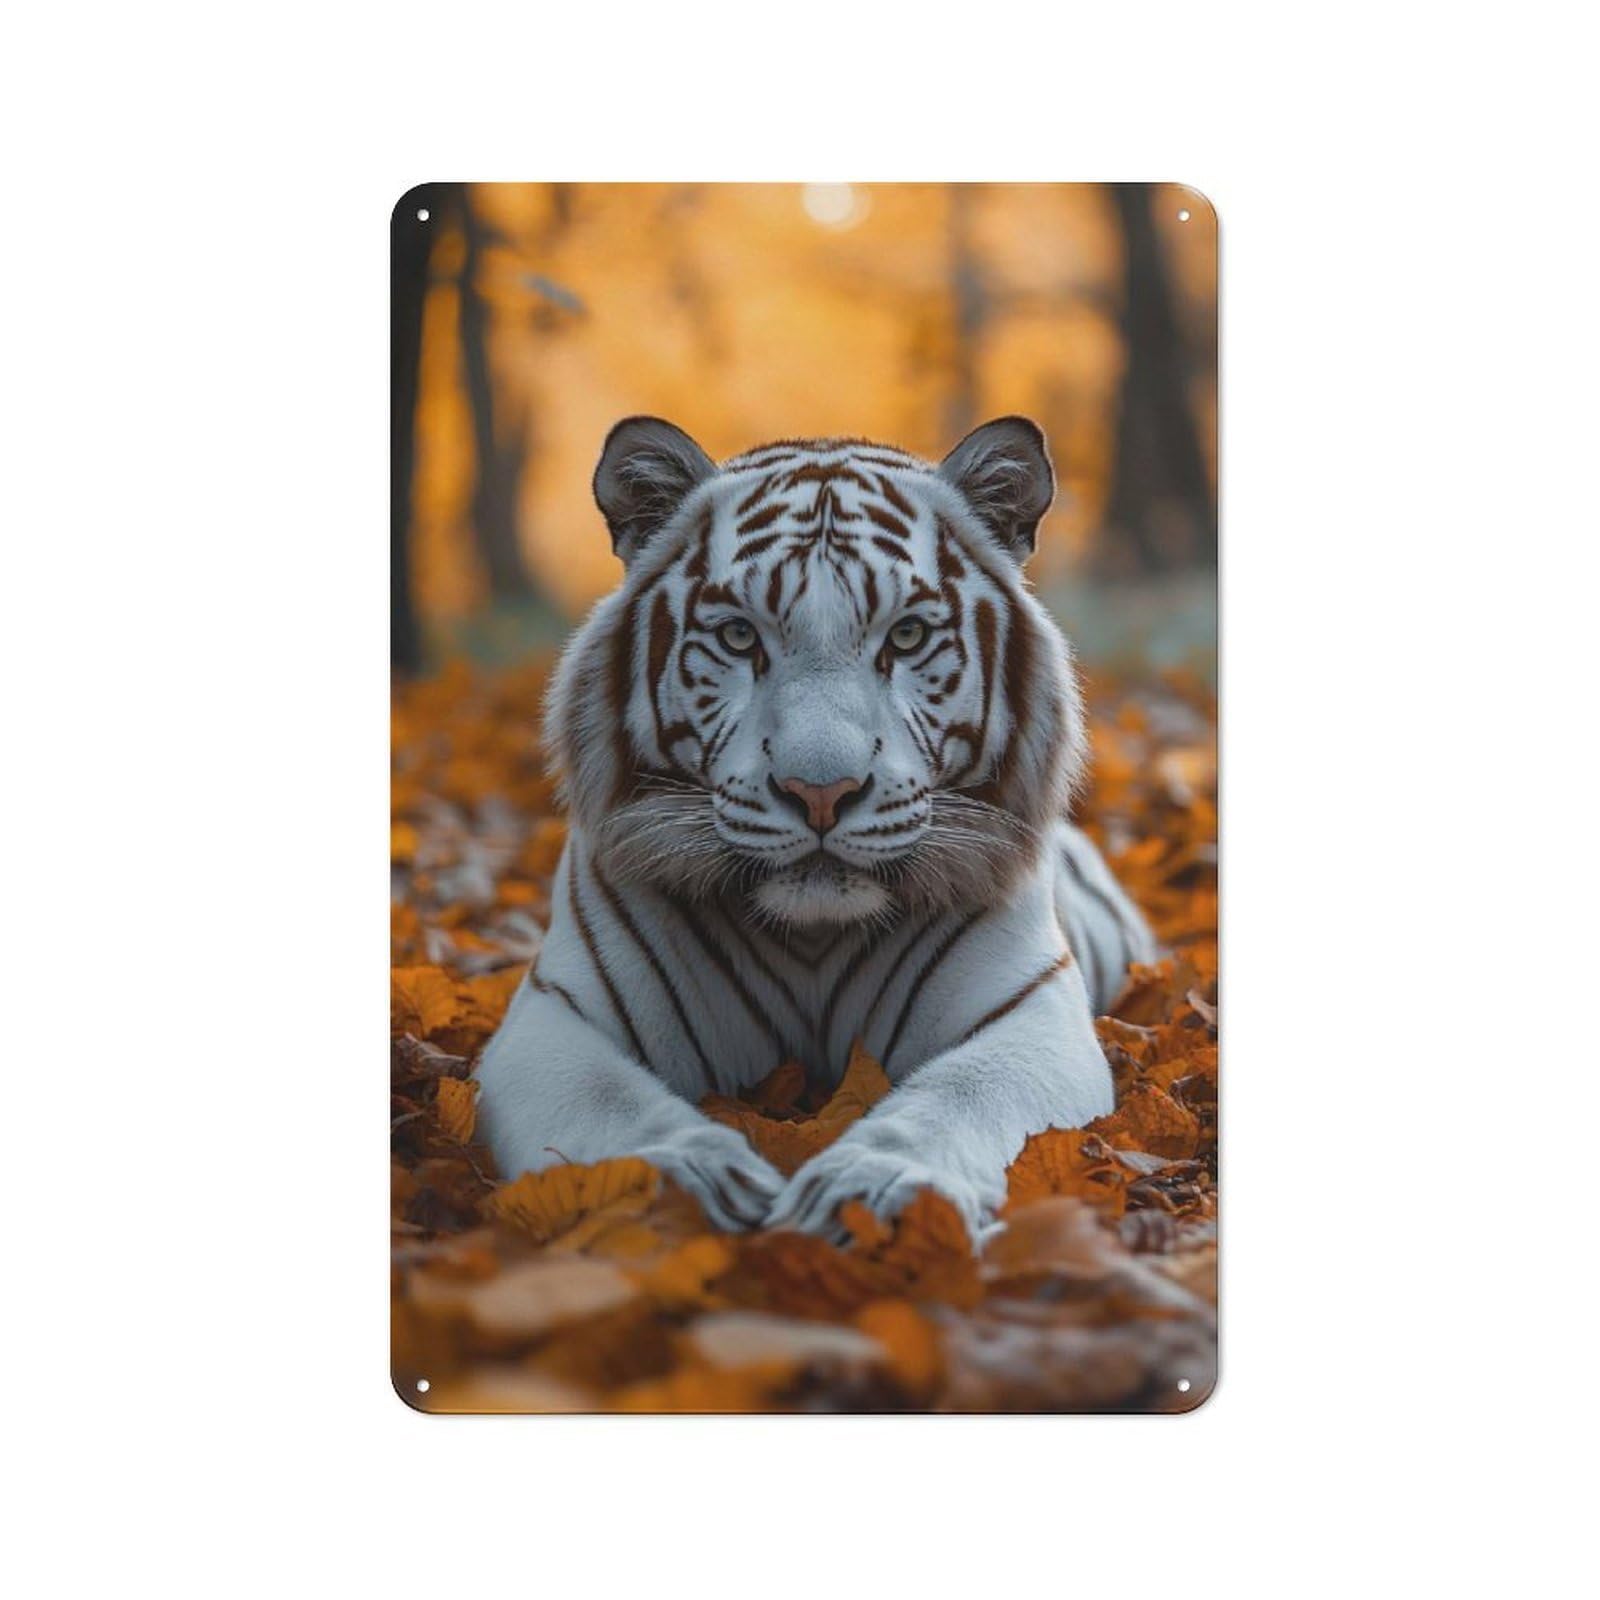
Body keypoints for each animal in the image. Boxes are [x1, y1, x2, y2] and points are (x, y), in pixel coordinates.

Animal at [475, 414, 1155, 1241]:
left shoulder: (1028, 1013)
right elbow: (613, 1109)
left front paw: (874, 1191)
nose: (821, 792)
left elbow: (955, 1101)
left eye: (907, 636)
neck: (812, 943)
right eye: (739, 637)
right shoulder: (553, 1016)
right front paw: (690, 1185)